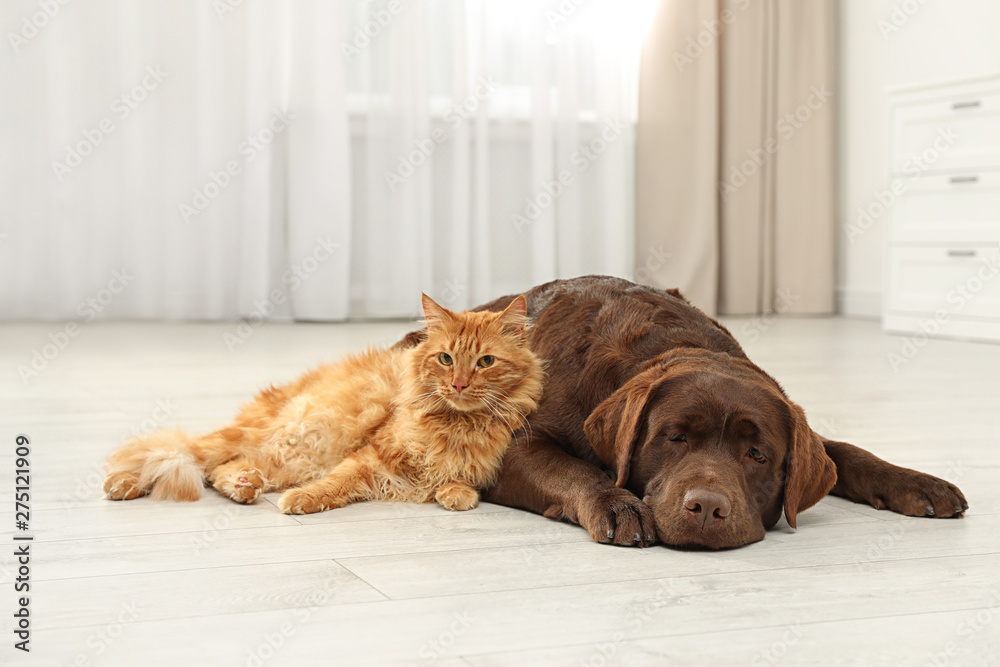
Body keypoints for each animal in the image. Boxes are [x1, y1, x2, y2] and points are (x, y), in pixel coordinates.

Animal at [102, 294, 544, 516]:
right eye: (446, 358)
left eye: (485, 362)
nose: (459, 384)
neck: (454, 425)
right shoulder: (369, 456)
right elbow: (334, 484)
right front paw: (301, 502)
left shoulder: (475, 467)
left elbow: (459, 483)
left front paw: (454, 494)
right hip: (290, 435)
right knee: (182, 452)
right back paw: (121, 484)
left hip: (294, 456)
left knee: (220, 470)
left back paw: (245, 487)